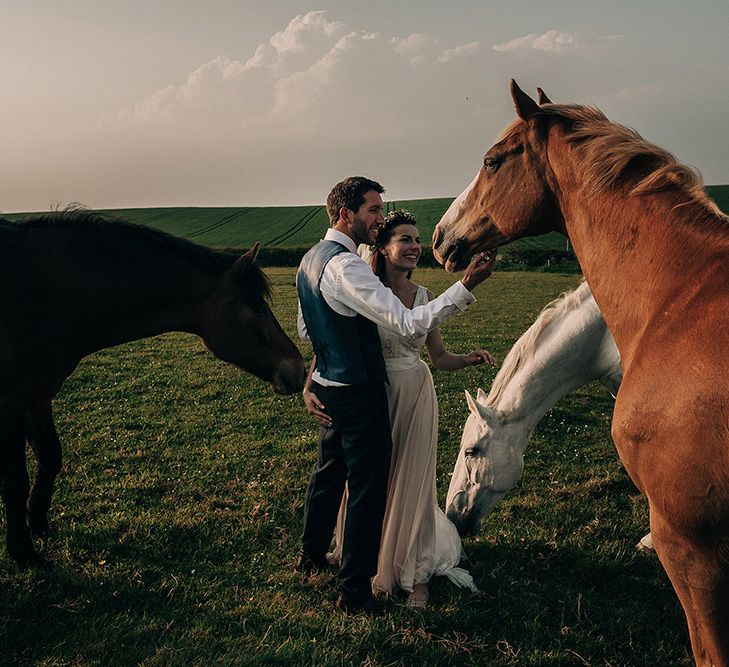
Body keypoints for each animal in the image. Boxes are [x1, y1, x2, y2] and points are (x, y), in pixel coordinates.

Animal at [0, 211, 304, 568]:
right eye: (257, 307)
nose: (299, 367)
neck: (45, 293)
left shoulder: (38, 396)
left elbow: (50, 457)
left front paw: (37, 522)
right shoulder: (11, 404)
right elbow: (15, 482)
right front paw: (23, 552)